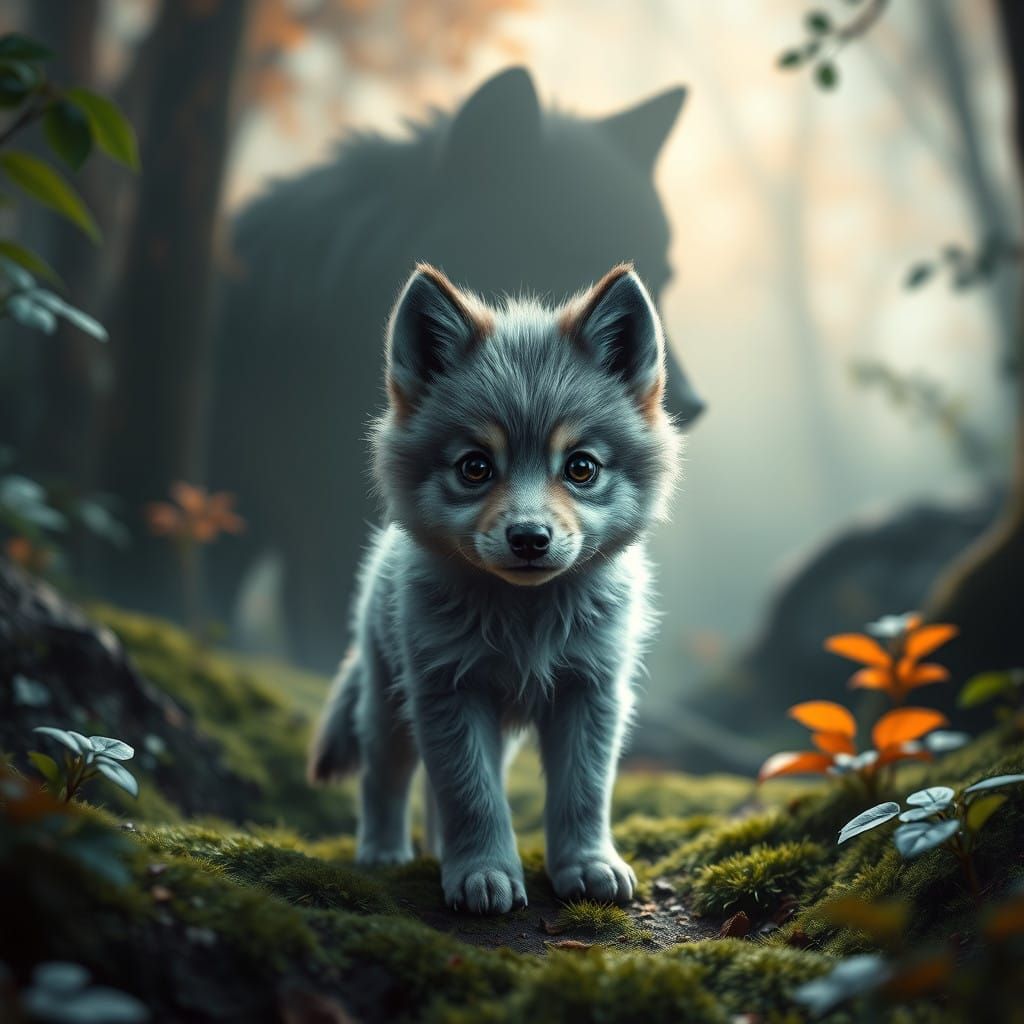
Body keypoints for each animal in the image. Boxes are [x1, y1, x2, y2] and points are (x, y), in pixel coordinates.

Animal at [308, 261, 681, 913]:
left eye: (581, 468)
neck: (524, 619)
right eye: (475, 467)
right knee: (386, 779)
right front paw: (484, 872)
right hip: (389, 704)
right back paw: (384, 852)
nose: (529, 538)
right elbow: (471, 795)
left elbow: (582, 792)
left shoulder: (591, 692)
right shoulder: (447, 692)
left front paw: (586, 864)